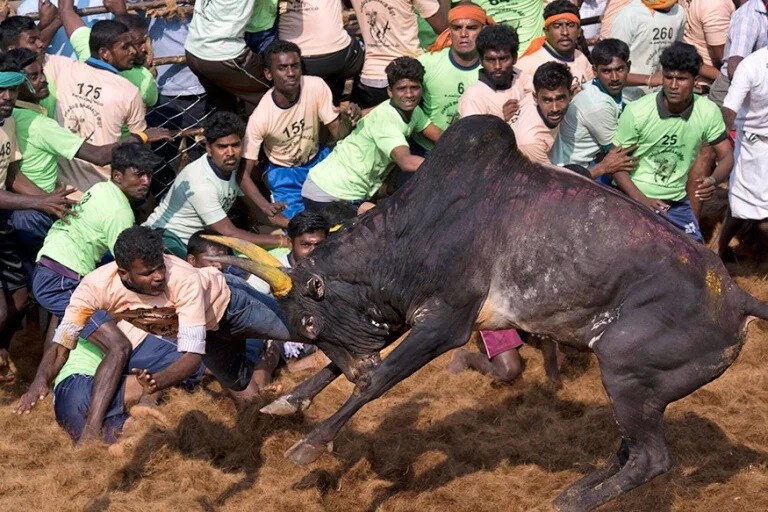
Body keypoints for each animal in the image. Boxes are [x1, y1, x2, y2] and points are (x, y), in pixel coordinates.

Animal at [224, 117, 768, 512]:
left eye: (309, 324)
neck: (413, 230)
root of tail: (737, 297)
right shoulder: (400, 319)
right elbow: (351, 367)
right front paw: (287, 402)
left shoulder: (447, 323)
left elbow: (377, 380)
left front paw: (309, 444)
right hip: (641, 389)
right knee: (631, 449)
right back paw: (573, 490)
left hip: (625, 371)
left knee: (650, 458)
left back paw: (571, 503)